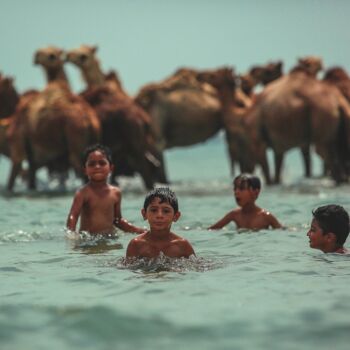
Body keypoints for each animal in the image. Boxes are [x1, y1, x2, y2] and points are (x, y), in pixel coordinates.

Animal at [6, 46, 100, 191]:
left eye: (50, 55)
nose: (36, 57)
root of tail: (88, 120)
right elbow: (31, 175)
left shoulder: (20, 139)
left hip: (74, 140)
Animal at [65, 46, 165, 190]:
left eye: (83, 55)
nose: (67, 55)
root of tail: (144, 119)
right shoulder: (116, 149)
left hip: (133, 141)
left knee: (145, 169)